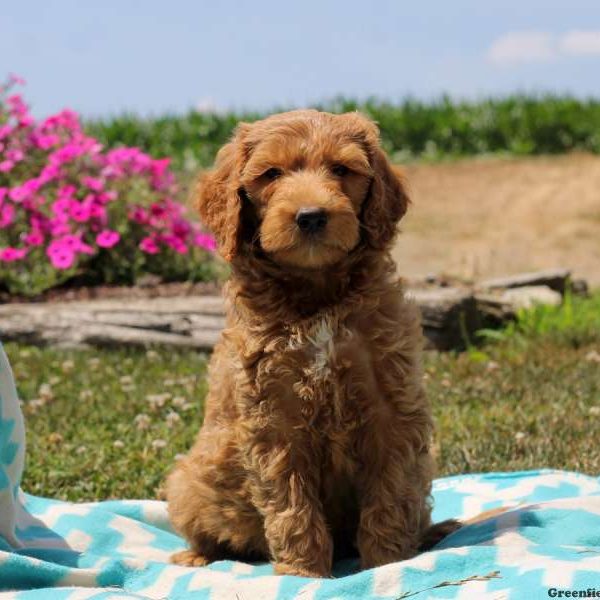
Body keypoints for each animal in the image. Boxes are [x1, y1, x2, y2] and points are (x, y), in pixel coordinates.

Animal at [166, 109, 458, 576]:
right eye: (271, 174)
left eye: (341, 170)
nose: (311, 216)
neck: (318, 293)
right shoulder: (274, 416)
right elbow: (290, 502)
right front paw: (303, 572)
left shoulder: (391, 402)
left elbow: (392, 489)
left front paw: (388, 561)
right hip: (190, 480)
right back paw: (197, 555)